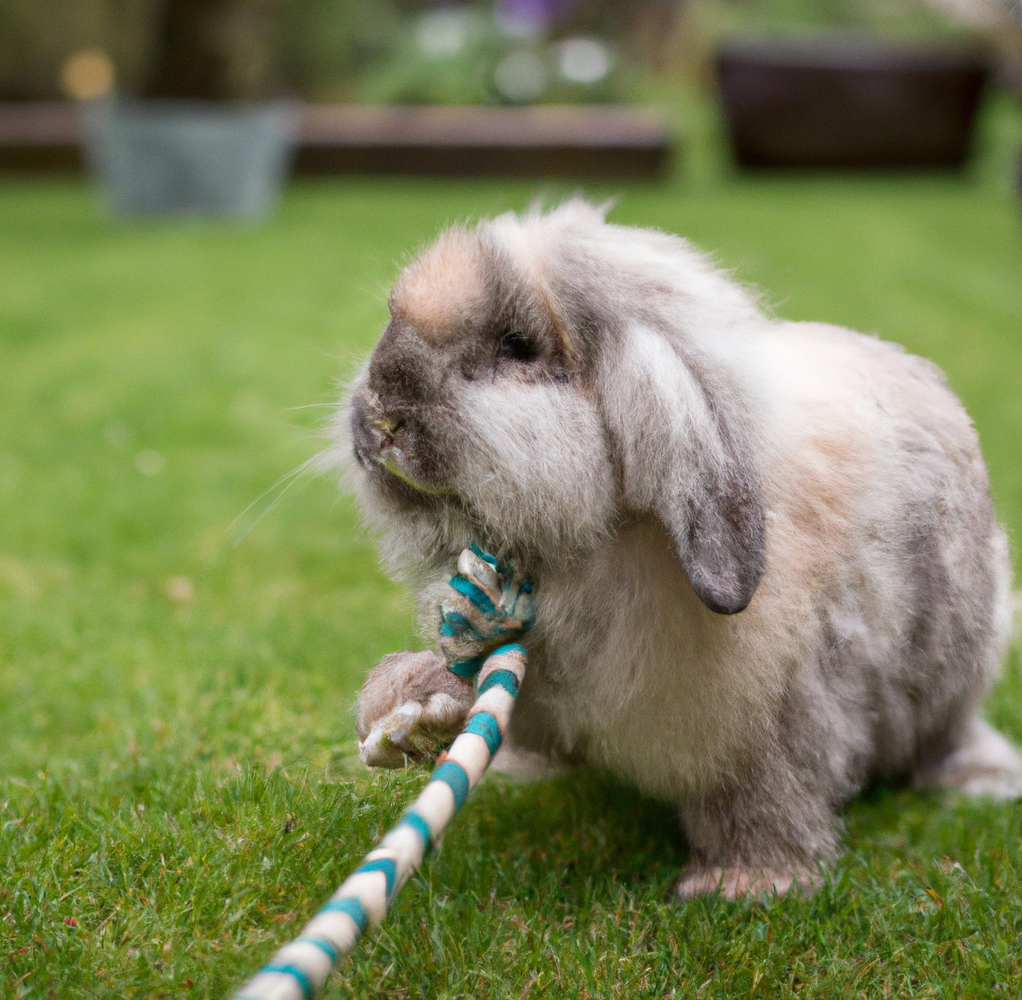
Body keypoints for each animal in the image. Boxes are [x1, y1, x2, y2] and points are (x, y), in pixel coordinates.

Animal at [331, 200, 1017, 895]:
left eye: (516, 346)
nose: (382, 418)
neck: (599, 544)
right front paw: (406, 713)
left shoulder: (775, 715)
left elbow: (768, 793)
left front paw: (746, 885)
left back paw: (976, 778)